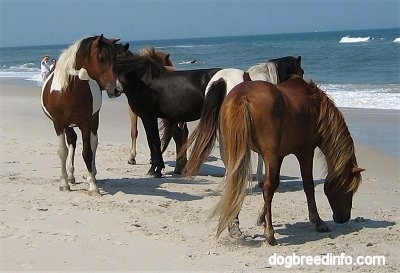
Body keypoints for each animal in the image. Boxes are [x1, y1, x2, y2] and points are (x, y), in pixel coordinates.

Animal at [40, 35, 122, 196]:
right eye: (101, 58)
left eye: (115, 59)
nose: (117, 89)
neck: (68, 90)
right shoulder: (58, 123)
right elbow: (63, 151)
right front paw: (64, 183)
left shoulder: (86, 122)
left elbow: (87, 152)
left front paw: (92, 186)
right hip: (68, 126)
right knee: (72, 141)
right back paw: (70, 176)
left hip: (94, 119)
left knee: (94, 142)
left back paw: (93, 174)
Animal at [209, 76, 362, 244]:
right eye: (349, 190)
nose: (344, 218)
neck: (315, 106)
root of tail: (242, 97)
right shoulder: (305, 152)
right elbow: (308, 186)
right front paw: (317, 221)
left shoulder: (280, 155)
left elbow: (277, 184)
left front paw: (261, 218)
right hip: (268, 156)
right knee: (266, 189)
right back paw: (270, 234)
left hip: (236, 153)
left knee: (235, 185)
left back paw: (234, 228)